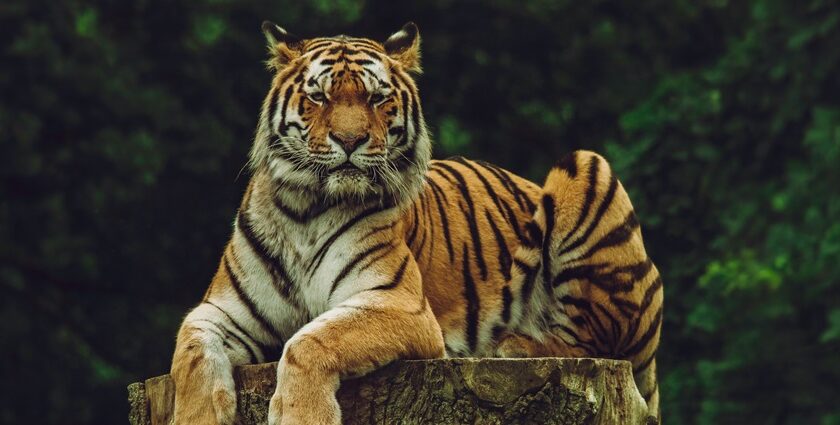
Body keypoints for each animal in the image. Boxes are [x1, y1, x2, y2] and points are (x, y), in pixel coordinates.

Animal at [171, 21, 668, 424]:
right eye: (319, 96)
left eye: (376, 98)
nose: (349, 140)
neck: (306, 209)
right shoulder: (221, 312)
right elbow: (189, 353)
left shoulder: (397, 303)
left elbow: (308, 342)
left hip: (586, 167)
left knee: (594, 341)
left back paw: (515, 345)